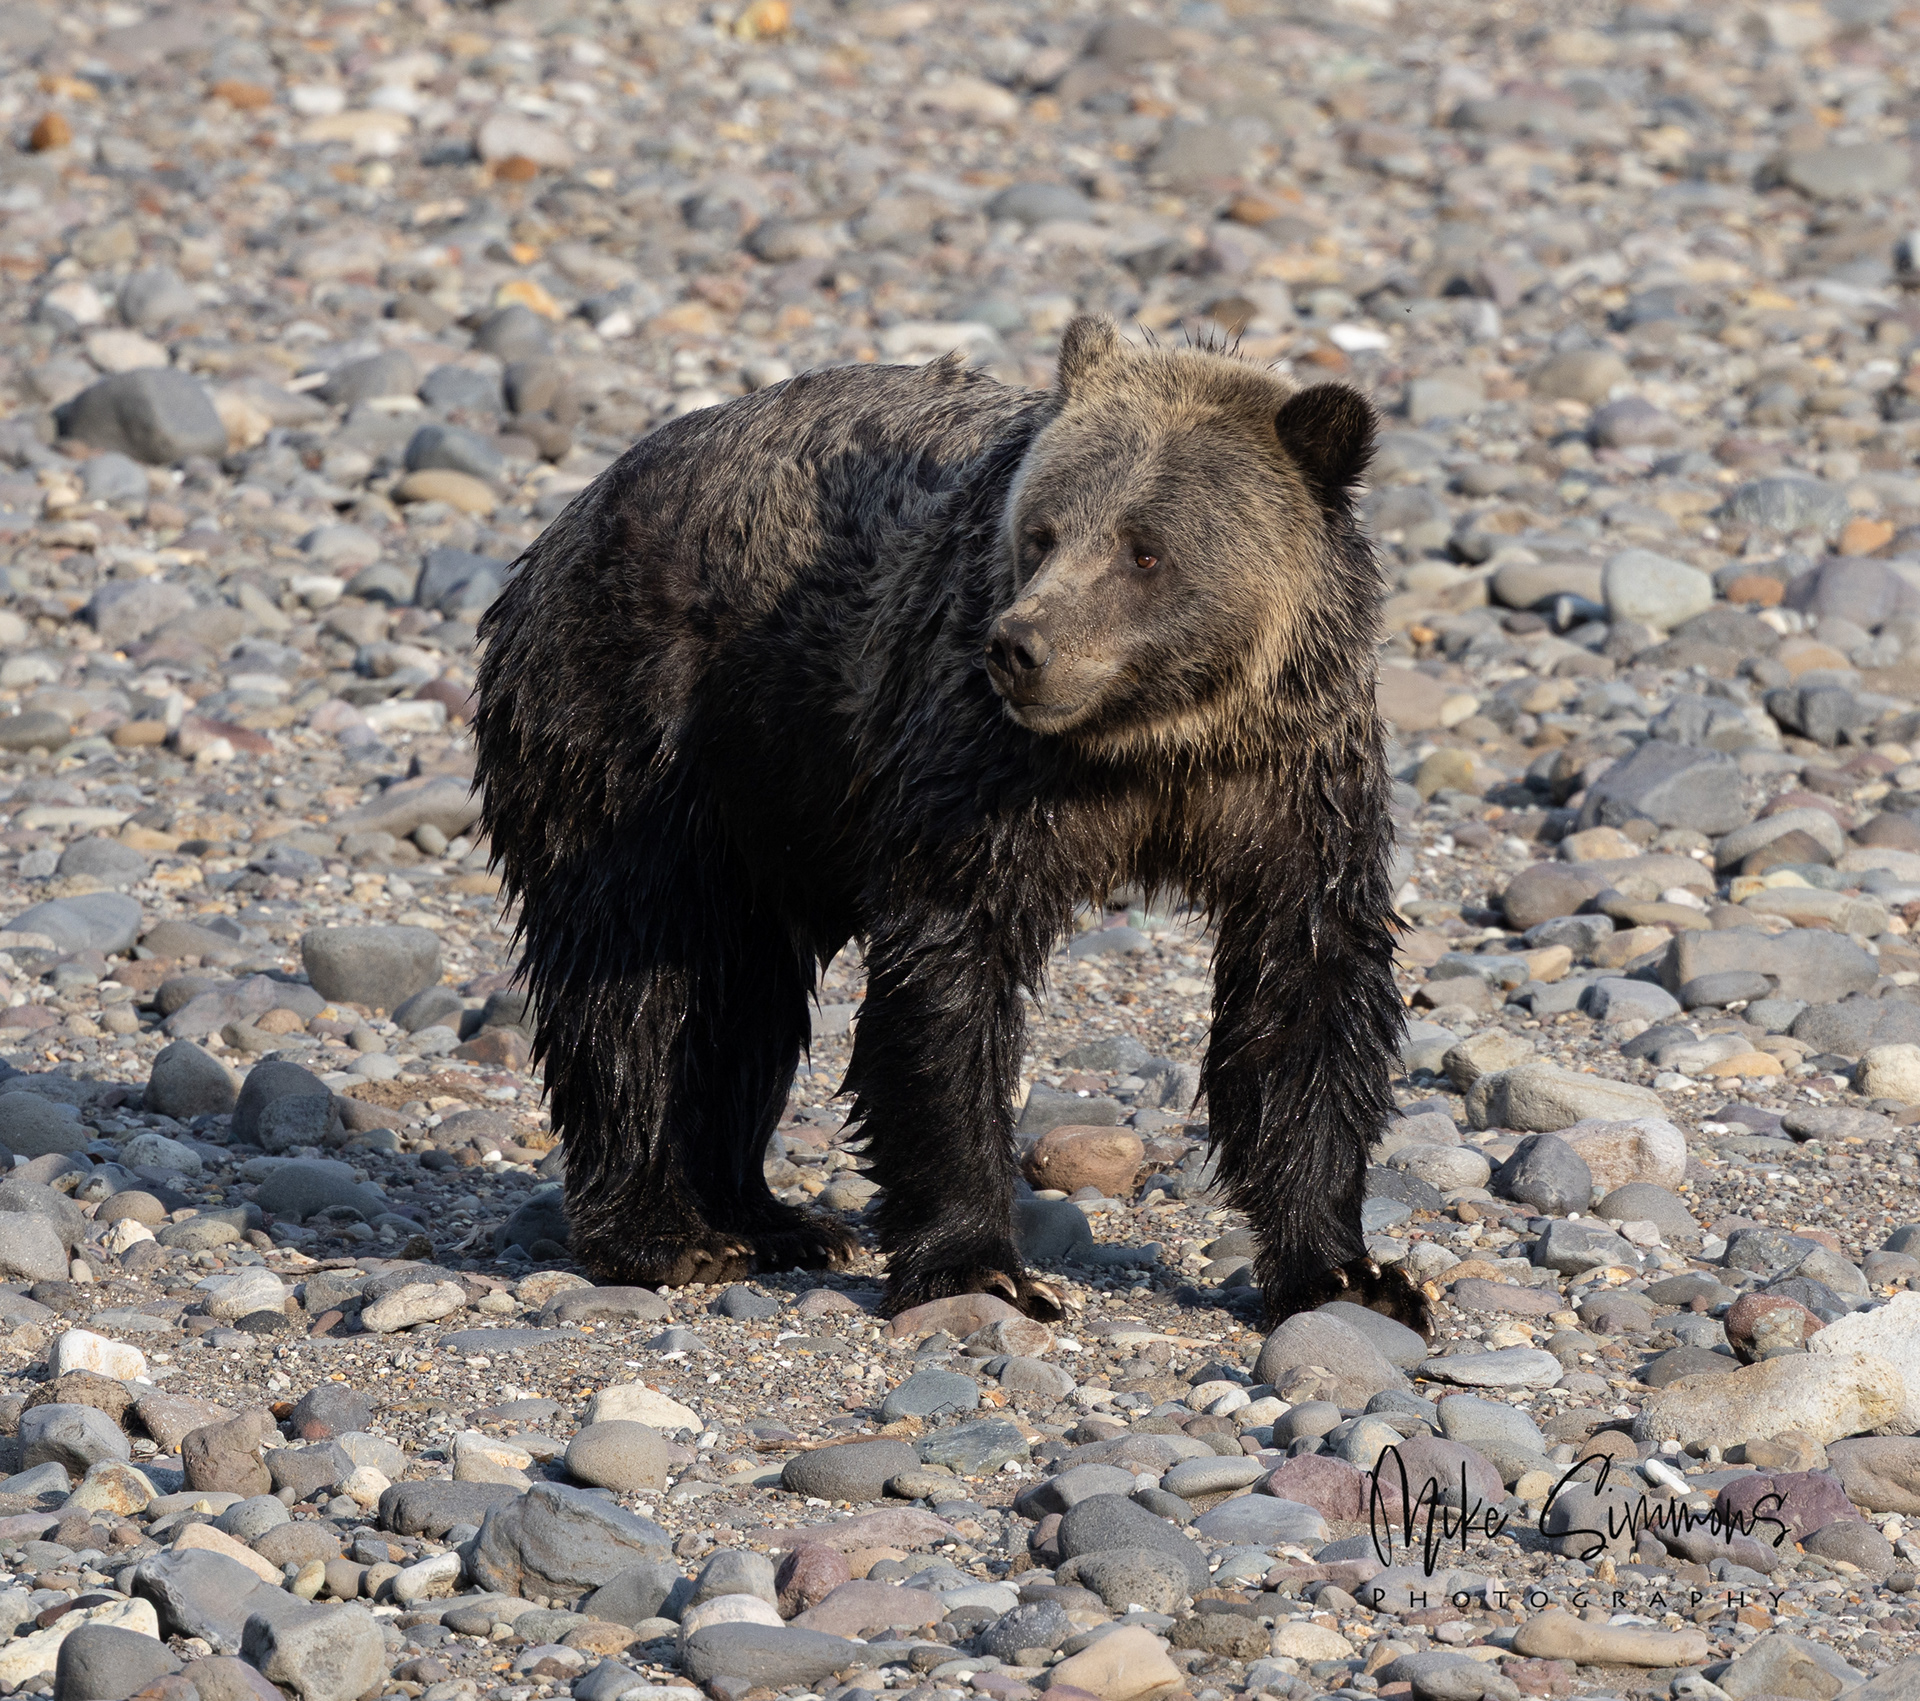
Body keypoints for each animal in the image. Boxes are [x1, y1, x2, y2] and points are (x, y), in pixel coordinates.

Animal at [473, 314, 1426, 1334]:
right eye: (1041, 531)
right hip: (644, 728)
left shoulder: (1290, 787)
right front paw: (982, 1265)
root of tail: (573, 511)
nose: (1021, 645)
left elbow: (1304, 991)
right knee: (638, 969)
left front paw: (1348, 1270)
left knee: (741, 997)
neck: (1155, 744)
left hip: (769, 812)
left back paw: (770, 1217)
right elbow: (948, 980)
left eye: (1146, 550)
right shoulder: (977, 765)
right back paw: (668, 1232)